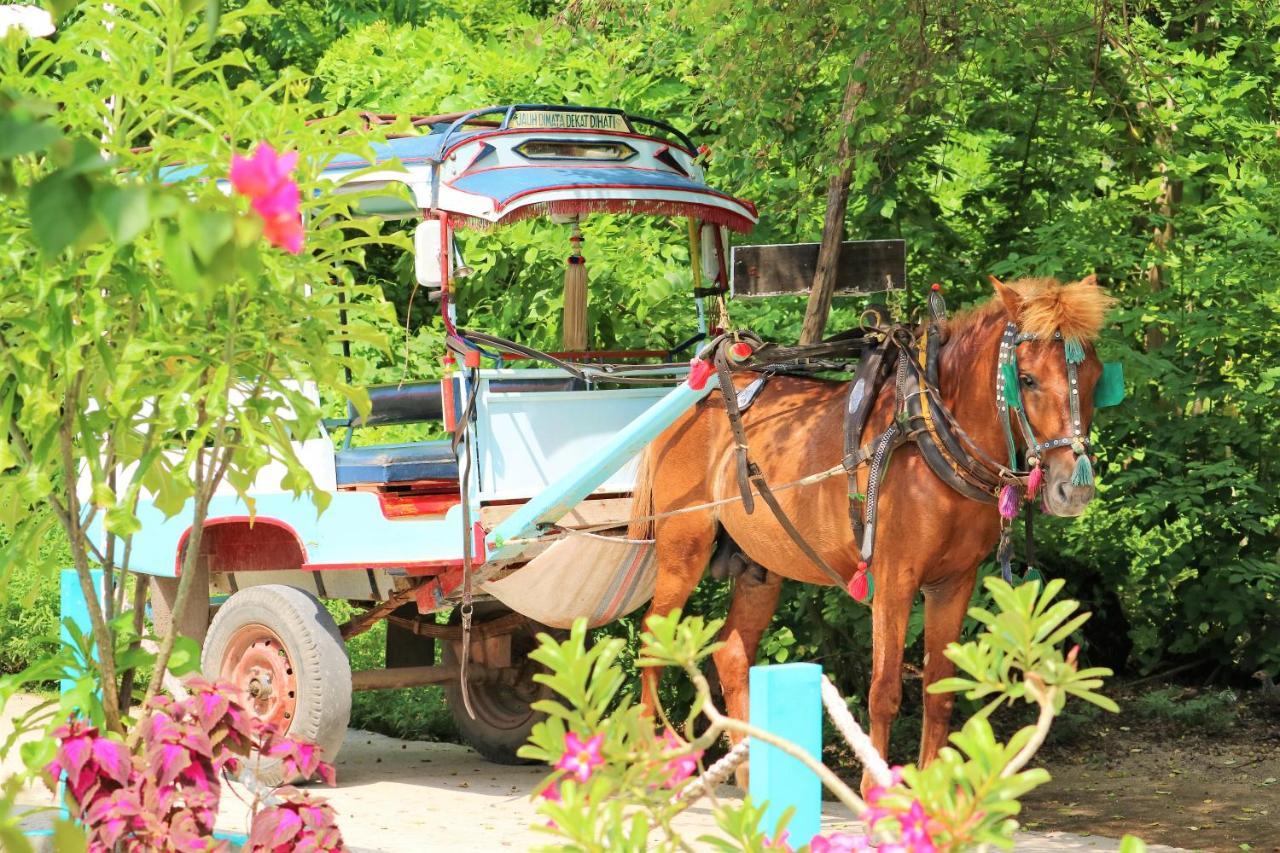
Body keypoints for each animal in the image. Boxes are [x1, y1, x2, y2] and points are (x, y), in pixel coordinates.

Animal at [634, 275, 1116, 788]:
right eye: (1026, 379)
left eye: (1095, 376)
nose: (1073, 489)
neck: (930, 435)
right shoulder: (892, 579)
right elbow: (884, 691)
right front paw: (876, 790)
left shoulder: (953, 584)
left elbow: (938, 691)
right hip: (683, 549)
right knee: (651, 641)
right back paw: (645, 764)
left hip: (759, 564)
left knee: (731, 654)